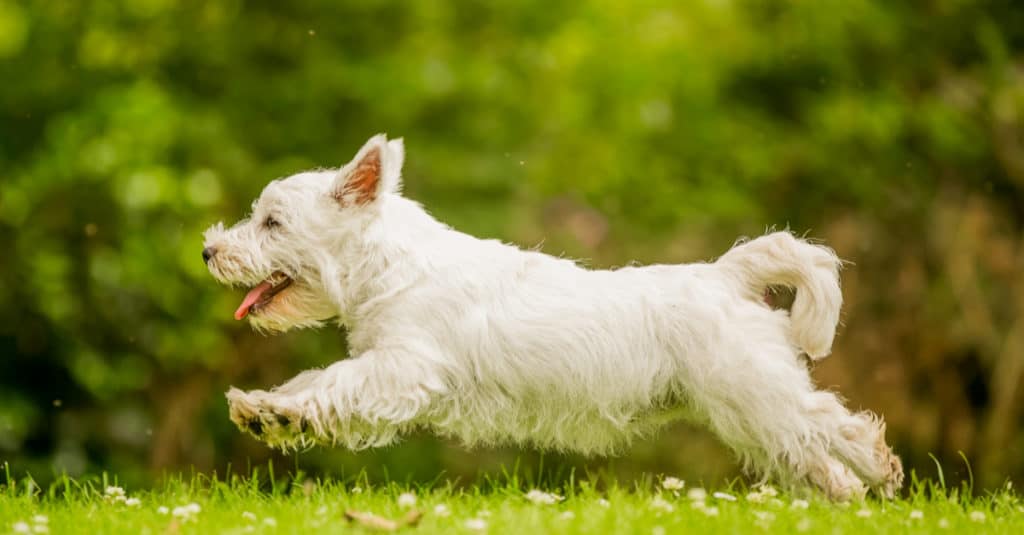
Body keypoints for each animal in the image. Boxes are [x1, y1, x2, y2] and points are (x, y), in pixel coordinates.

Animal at [201, 134, 905, 500]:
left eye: (272, 222)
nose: (209, 250)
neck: (390, 265)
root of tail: (725, 275)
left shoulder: (402, 367)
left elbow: (332, 383)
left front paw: (278, 409)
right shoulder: (386, 366)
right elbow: (312, 383)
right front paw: (264, 409)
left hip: (752, 391)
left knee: (833, 425)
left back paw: (880, 470)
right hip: (748, 413)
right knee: (811, 452)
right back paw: (851, 499)